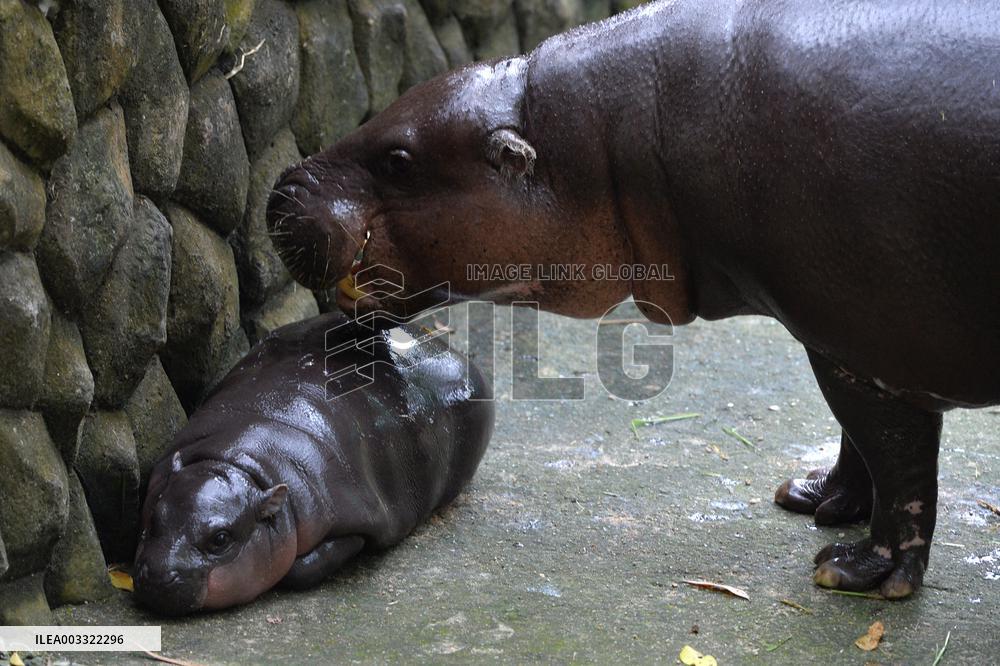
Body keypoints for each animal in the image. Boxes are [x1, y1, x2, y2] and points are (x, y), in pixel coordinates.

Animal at [133, 313, 494, 615]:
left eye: (220, 539)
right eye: (154, 516)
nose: (160, 576)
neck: (239, 465)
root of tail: (441, 344)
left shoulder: (355, 517)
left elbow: (305, 567)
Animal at [266, 0, 1000, 598]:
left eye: (398, 160)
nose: (279, 190)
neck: (602, 144)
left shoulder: (870, 342)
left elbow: (897, 458)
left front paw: (856, 573)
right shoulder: (836, 337)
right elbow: (858, 441)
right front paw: (815, 499)